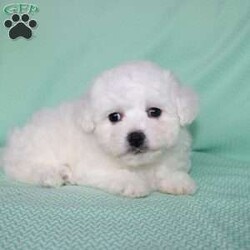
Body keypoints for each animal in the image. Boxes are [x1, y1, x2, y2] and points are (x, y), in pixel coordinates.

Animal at [2, 61, 198, 197]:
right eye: (114, 117)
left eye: (154, 112)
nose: (135, 137)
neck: (141, 165)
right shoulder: (93, 169)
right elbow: (118, 175)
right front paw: (133, 184)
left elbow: (166, 170)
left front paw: (177, 181)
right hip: (36, 147)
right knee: (25, 168)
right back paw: (55, 174)